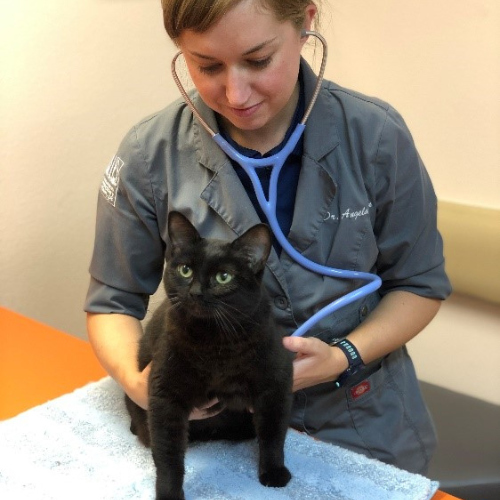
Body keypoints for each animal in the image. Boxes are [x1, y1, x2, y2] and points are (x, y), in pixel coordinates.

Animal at [125, 211, 293, 500]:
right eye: (185, 270)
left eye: (224, 277)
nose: (195, 292)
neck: (215, 342)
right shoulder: (165, 394)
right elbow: (168, 455)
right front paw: (169, 494)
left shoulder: (277, 381)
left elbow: (273, 433)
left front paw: (273, 473)